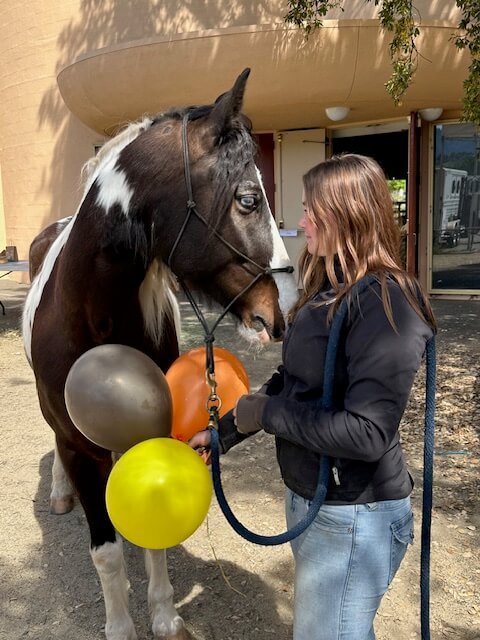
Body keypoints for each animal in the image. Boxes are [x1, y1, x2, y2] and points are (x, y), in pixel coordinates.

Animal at [23, 68, 297, 640]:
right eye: (247, 200)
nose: (281, 310)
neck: (95, 315)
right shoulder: (80, 444)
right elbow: (105, 551)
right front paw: (121, 625)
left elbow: (152, 531)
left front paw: (165, 614)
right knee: (55, 444)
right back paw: (60, 492)